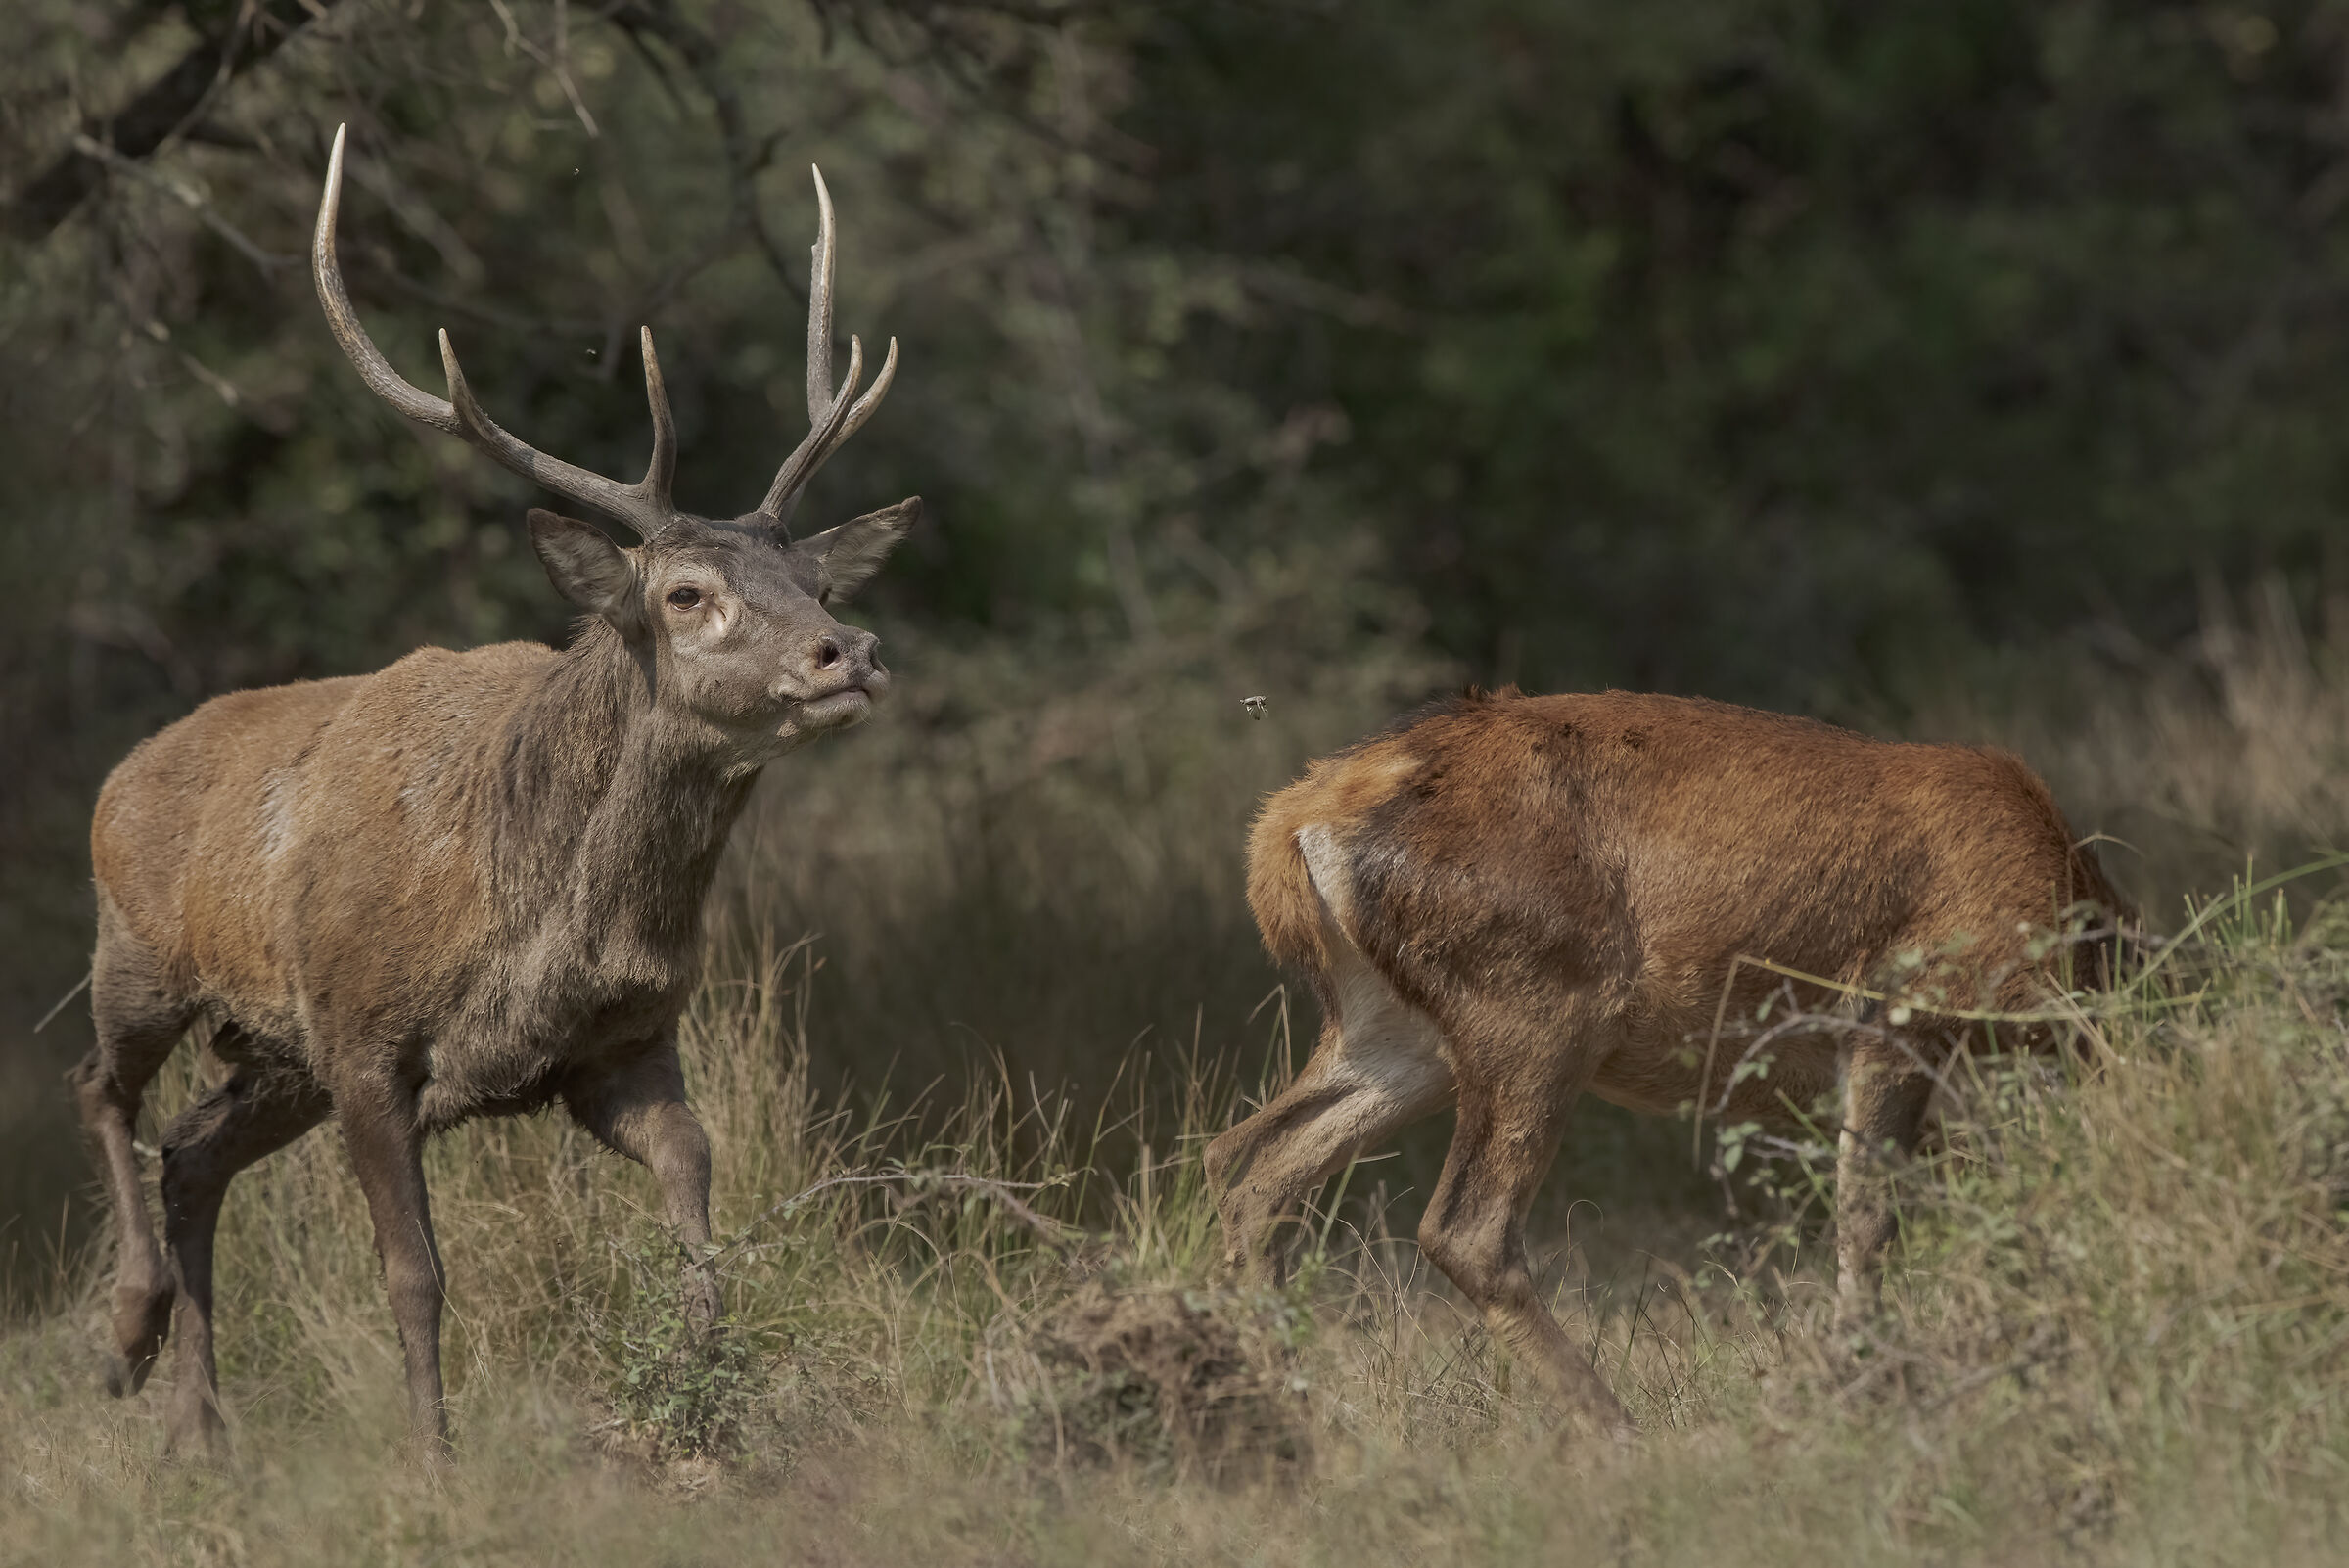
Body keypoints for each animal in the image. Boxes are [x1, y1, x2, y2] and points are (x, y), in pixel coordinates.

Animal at [66, 125, 918, 1457]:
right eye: (685, 594)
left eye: (819, 581)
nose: (852, 652)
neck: (538, 917)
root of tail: (121, 776)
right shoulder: (364, 1035)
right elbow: (413, 1273)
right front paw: (435, 1458)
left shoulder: (627, 1044)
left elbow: (697, 1206)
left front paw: (710, 1400)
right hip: (144, 958)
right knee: (101, 1090)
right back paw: (127, 1330)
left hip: (270, 1056)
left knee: (193, 1154)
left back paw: (200, 1428)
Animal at [1205, 687, 2130, 1433]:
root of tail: (1290, 827)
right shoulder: (1899, 1016)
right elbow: (1869, 1224)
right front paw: (1860, 1392)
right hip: (1535, 1007)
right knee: (1463, 1225)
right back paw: (1619, 1429)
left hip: (1397, 1035)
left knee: (1250, 1161)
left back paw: (1298, 1413)